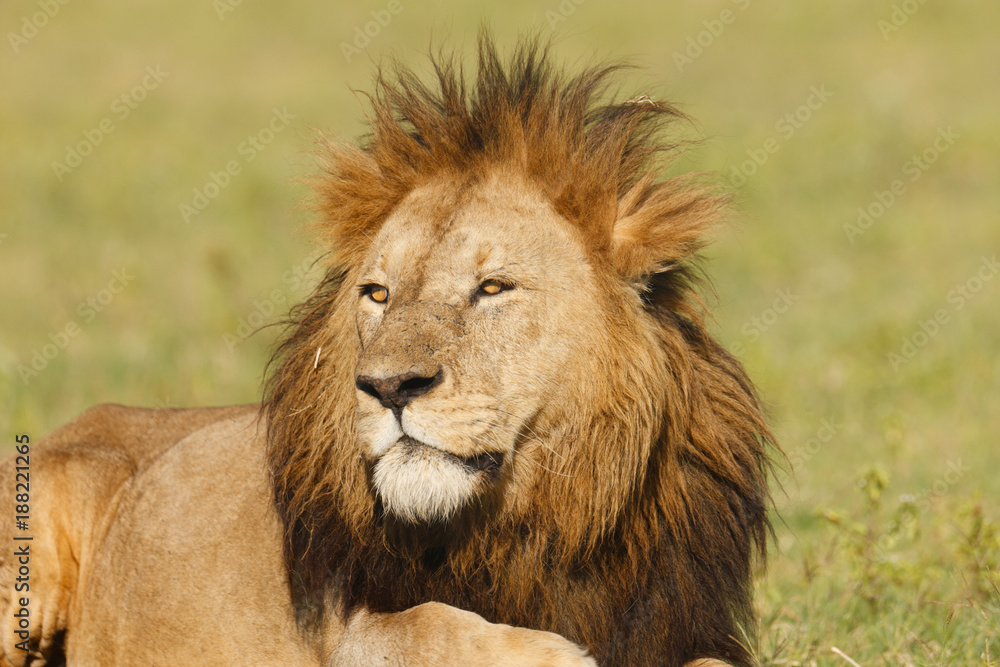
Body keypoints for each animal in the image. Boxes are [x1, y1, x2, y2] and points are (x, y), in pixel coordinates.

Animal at [0, 36, 774, 666]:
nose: (388, 387)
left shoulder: (676, 625)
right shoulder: (346, 629)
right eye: (376, 293)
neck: (539, 519)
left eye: (492, 287)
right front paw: (556, 652)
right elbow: (426, 625)